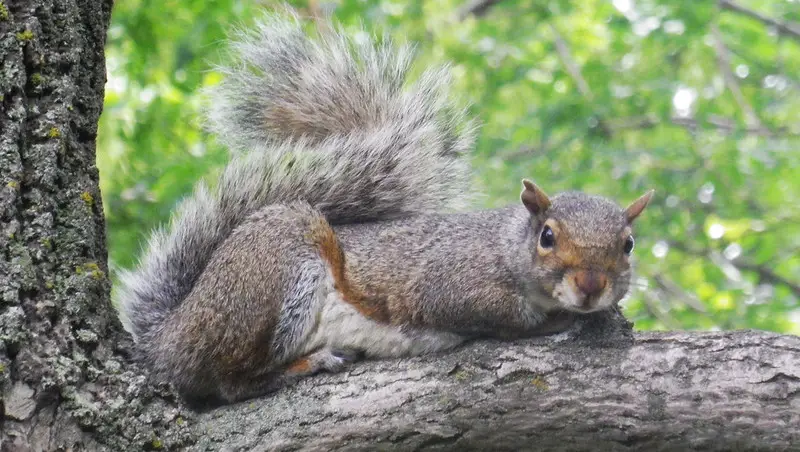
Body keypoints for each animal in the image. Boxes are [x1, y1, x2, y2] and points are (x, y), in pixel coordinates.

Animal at [115, 11, 652, 406]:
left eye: (628, 245)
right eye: (547, 236)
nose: (590, 286)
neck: (503, 246)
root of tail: (171, 333)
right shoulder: (451, 279)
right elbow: (496, 313)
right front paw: (553, 322)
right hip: (273, 276)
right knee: (229, 382)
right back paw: (306, 363)